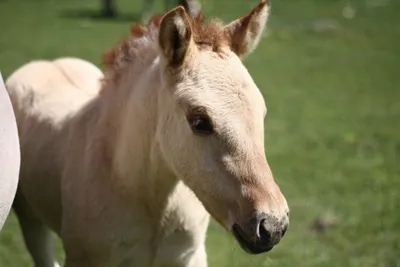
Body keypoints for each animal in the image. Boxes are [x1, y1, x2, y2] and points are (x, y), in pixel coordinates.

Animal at [6, 1, 290, 266]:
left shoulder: (190, 257)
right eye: (199, 121)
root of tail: (43, 64)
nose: (273, 226)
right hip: (30, 221)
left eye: (261, 112)